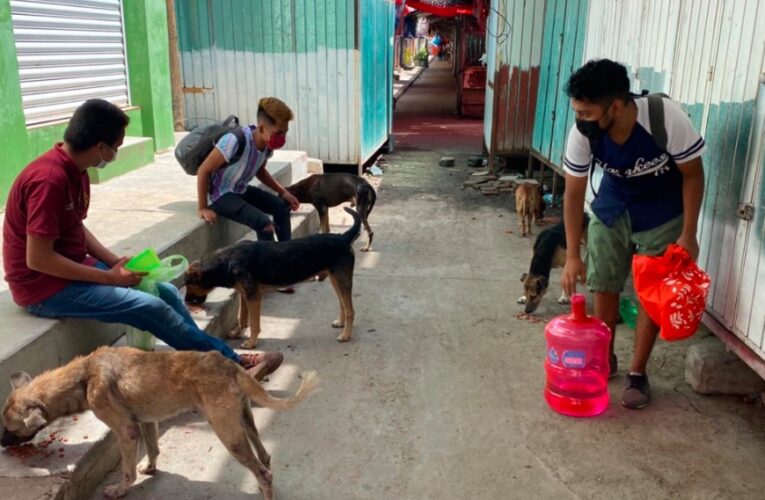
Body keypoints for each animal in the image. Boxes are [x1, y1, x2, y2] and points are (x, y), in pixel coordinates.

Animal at [1, 348, 318, 500]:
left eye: (9, 429)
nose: (1, 443)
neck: (83, 375)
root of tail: (229, 365)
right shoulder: (145, 422)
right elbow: (153, 449)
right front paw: (151, 469)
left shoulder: (125, 431)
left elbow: (127, 471)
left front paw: (120, 490)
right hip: (244, 421)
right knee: (265, 458)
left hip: (228, 434)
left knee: (263, 471)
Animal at [187, 207, 362, 348]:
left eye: (188, 284)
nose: (187, 302)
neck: (227, 262)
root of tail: (343, 237)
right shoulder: (244, 295)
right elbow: (242, 318)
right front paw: (237, 334)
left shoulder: (253, 297)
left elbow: (254, 323)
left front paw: (251, 343)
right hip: (335, 279)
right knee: (343, 304)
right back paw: (341, 323)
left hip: (341, 279)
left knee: (350, 309)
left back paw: (346, 335)